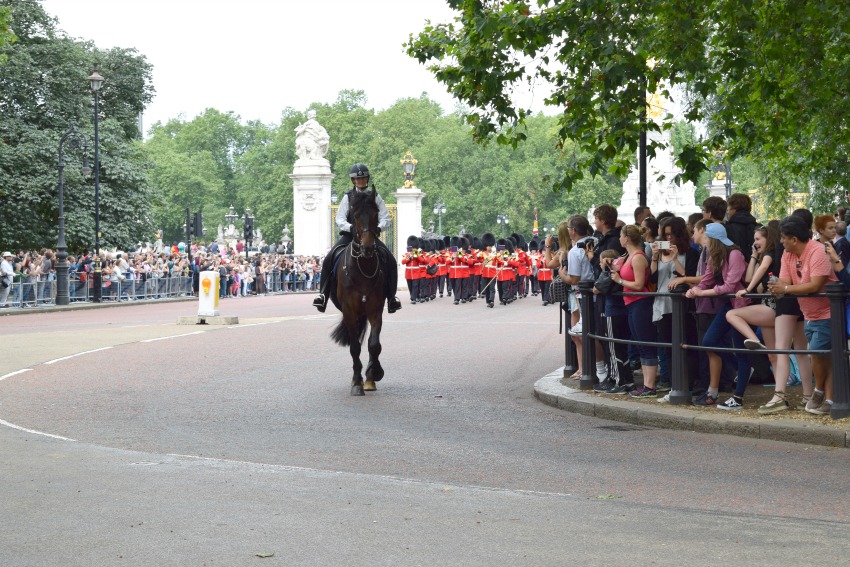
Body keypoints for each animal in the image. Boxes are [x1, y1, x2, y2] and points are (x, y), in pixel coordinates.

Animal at [330, 186, 386, 394]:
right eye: (354, 215)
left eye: (375, 213)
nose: (368, 248)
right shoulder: (349, 311)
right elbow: (355, 347)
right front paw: (357, 382)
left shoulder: (375, 309)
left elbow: (374, 345)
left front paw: (372, 375)